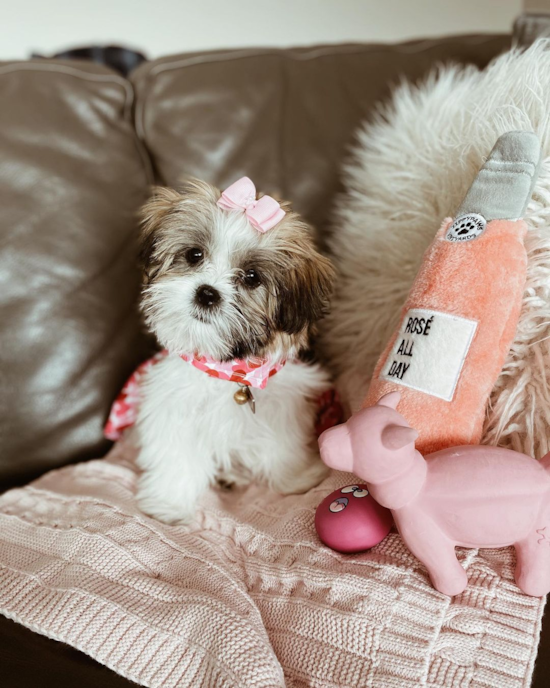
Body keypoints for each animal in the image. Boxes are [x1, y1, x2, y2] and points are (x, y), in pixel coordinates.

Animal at [135, 177, 334, 520]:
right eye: (194, 255)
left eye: (251, 277)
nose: (207, 293)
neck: (227, 370)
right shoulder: (173, 406)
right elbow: (175, 455)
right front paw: (168, 502)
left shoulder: (284, 404)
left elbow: (283, 444)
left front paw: (297, 478)